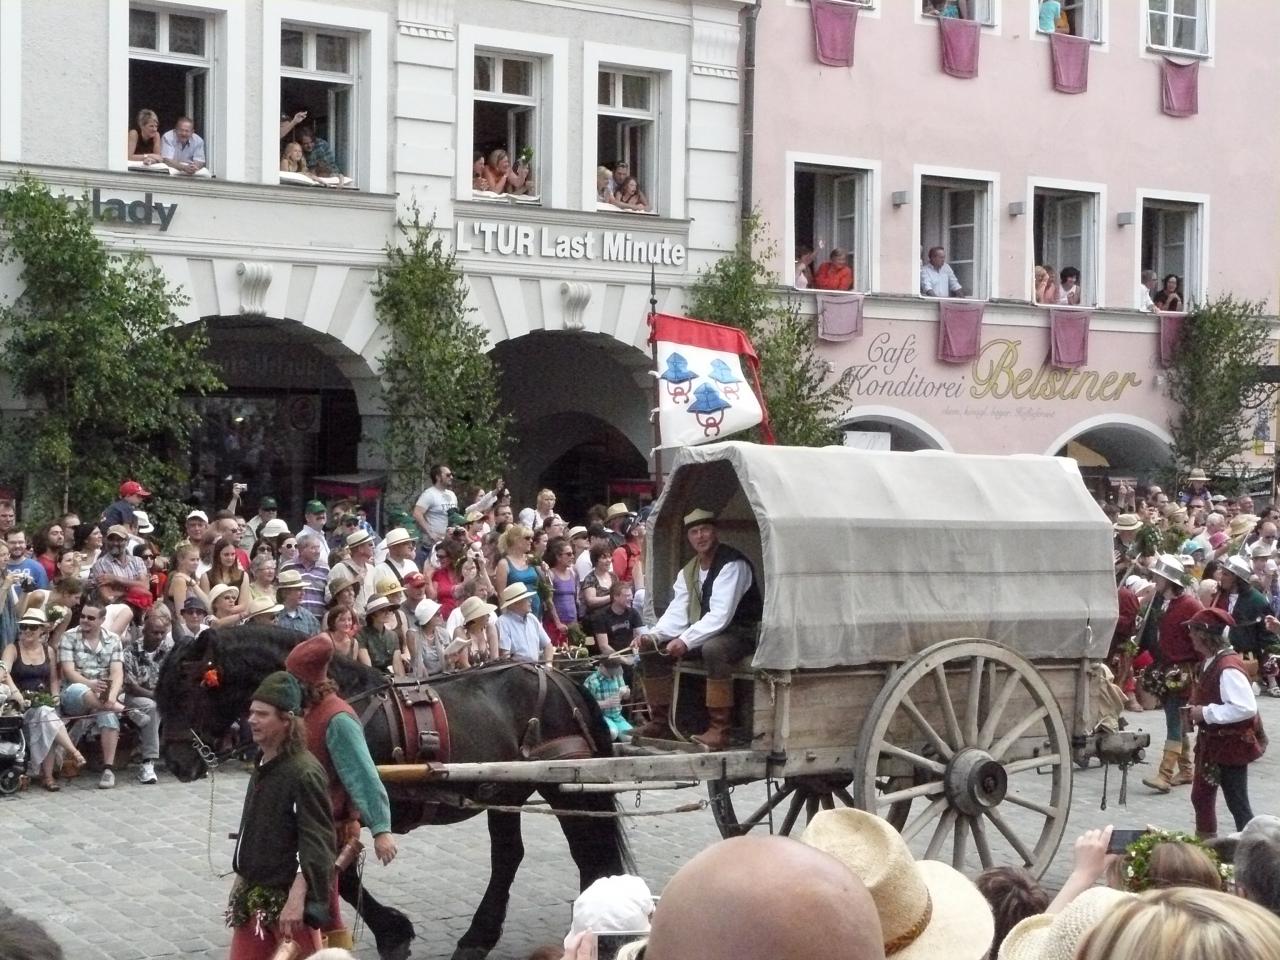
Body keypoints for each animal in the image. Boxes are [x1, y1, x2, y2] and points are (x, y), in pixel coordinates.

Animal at [156, 624, 634, 960]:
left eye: (183, 689)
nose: (176, 763)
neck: (331, 699)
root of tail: (562, 679)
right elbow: (334, 874)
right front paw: (388, 930)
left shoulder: (344, 803)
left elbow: (341, 876)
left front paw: (393, 933)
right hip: (506, 792)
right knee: (511, 857)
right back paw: (480, 937)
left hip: (565, 788)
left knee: (588, 850)